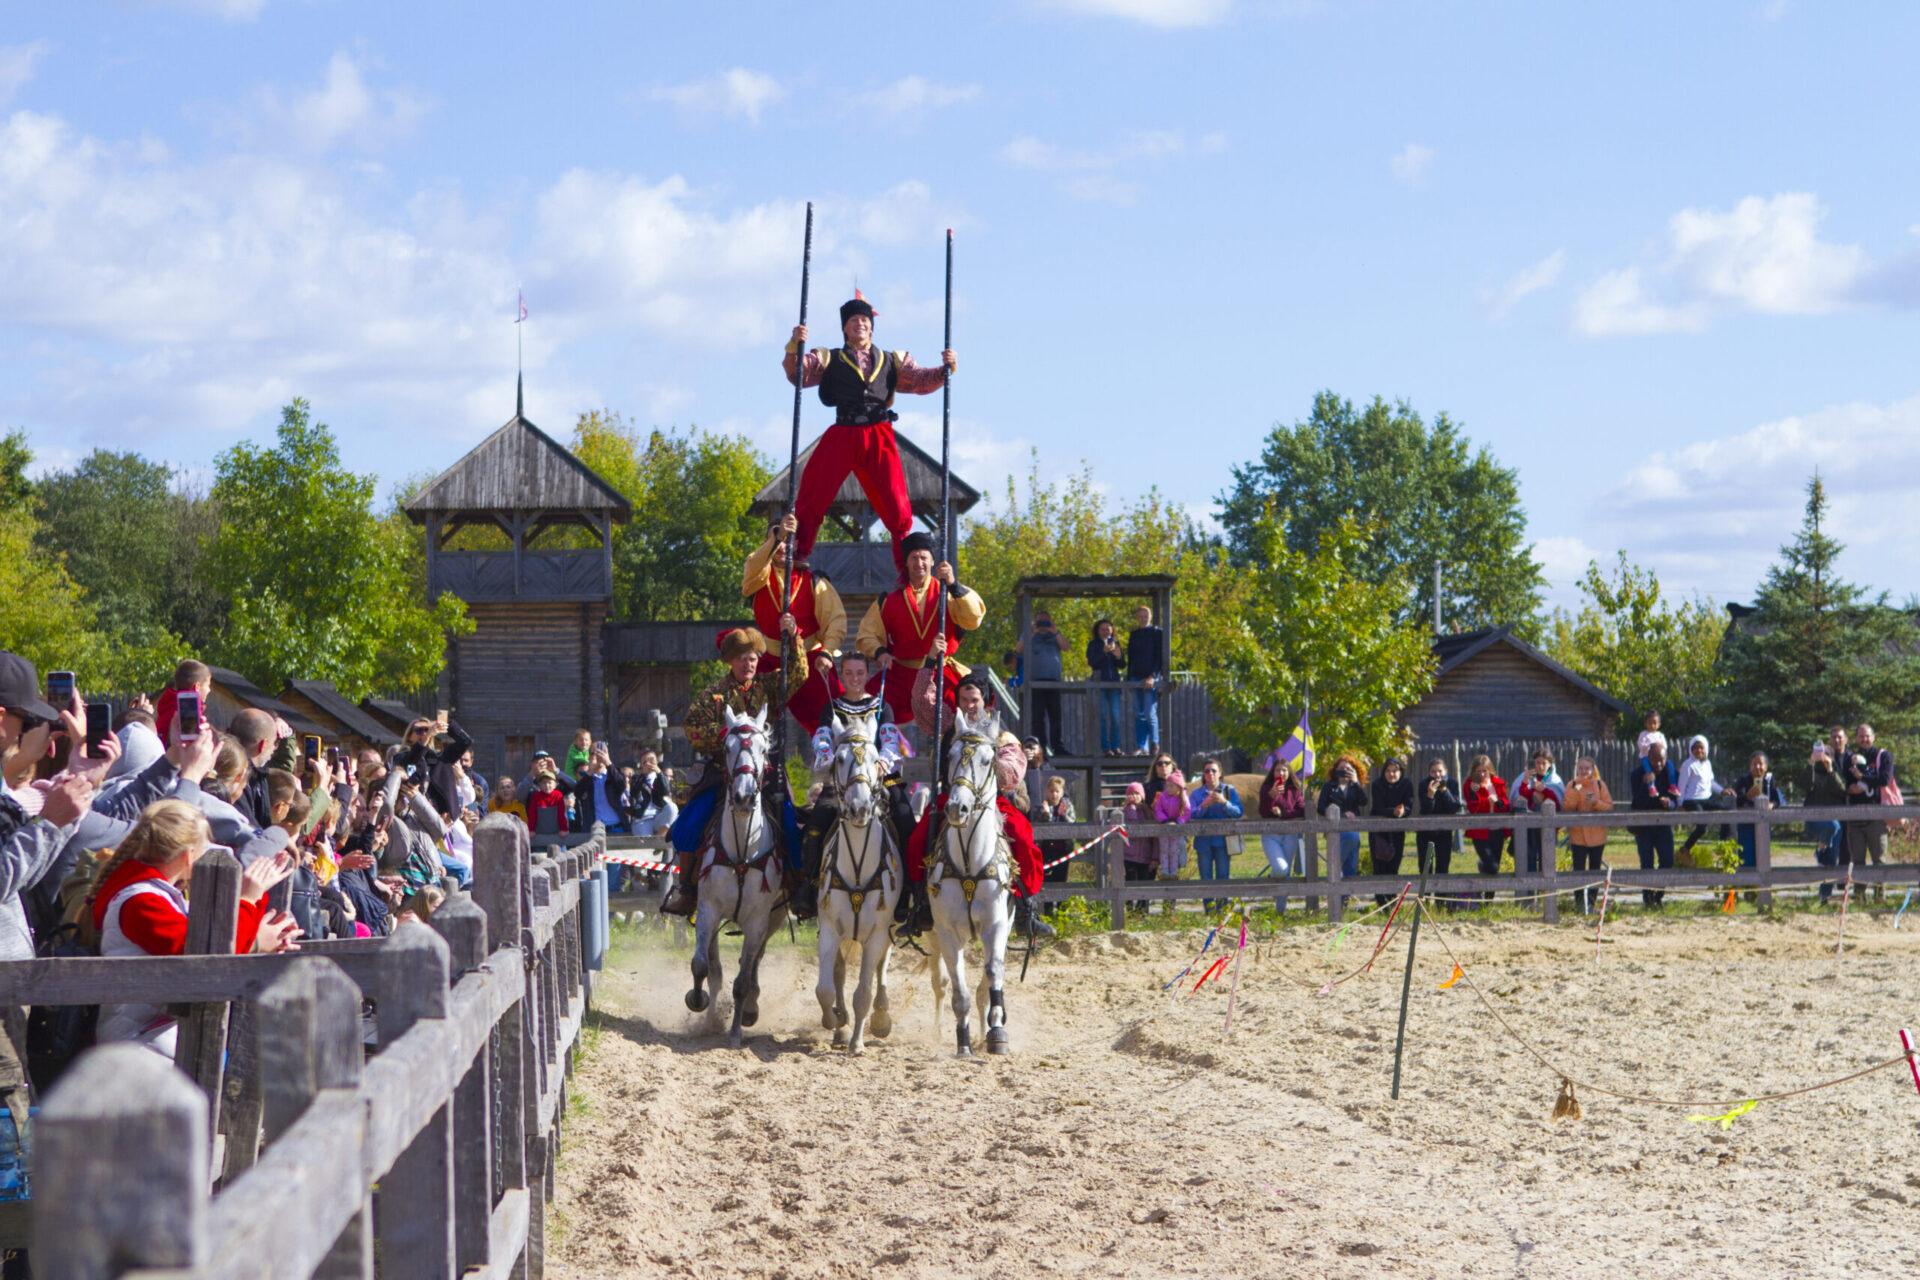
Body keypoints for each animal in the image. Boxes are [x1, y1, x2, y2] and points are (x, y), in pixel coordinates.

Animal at [683, 706, 787, 1043]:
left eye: (763, 749)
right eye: (727, 748)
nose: (743, 797)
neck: (743, 851)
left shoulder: (758, 921)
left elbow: (742, 980)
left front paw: (735, 1032)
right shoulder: (708, 911)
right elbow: (702, 967)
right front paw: (699, 1003)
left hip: (774, 920)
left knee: (753, 964)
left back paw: (750, 1010)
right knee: (715, 969)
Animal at [929, 706, 1021, 1059]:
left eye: (986, 760)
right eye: (951, 755)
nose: (958, 808)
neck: (970, 864)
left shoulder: (995, 926)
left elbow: (992, 975)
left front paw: (997, 1032)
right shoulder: (947, 933)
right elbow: (960, 992)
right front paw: (963, 1042)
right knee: (942, 984)